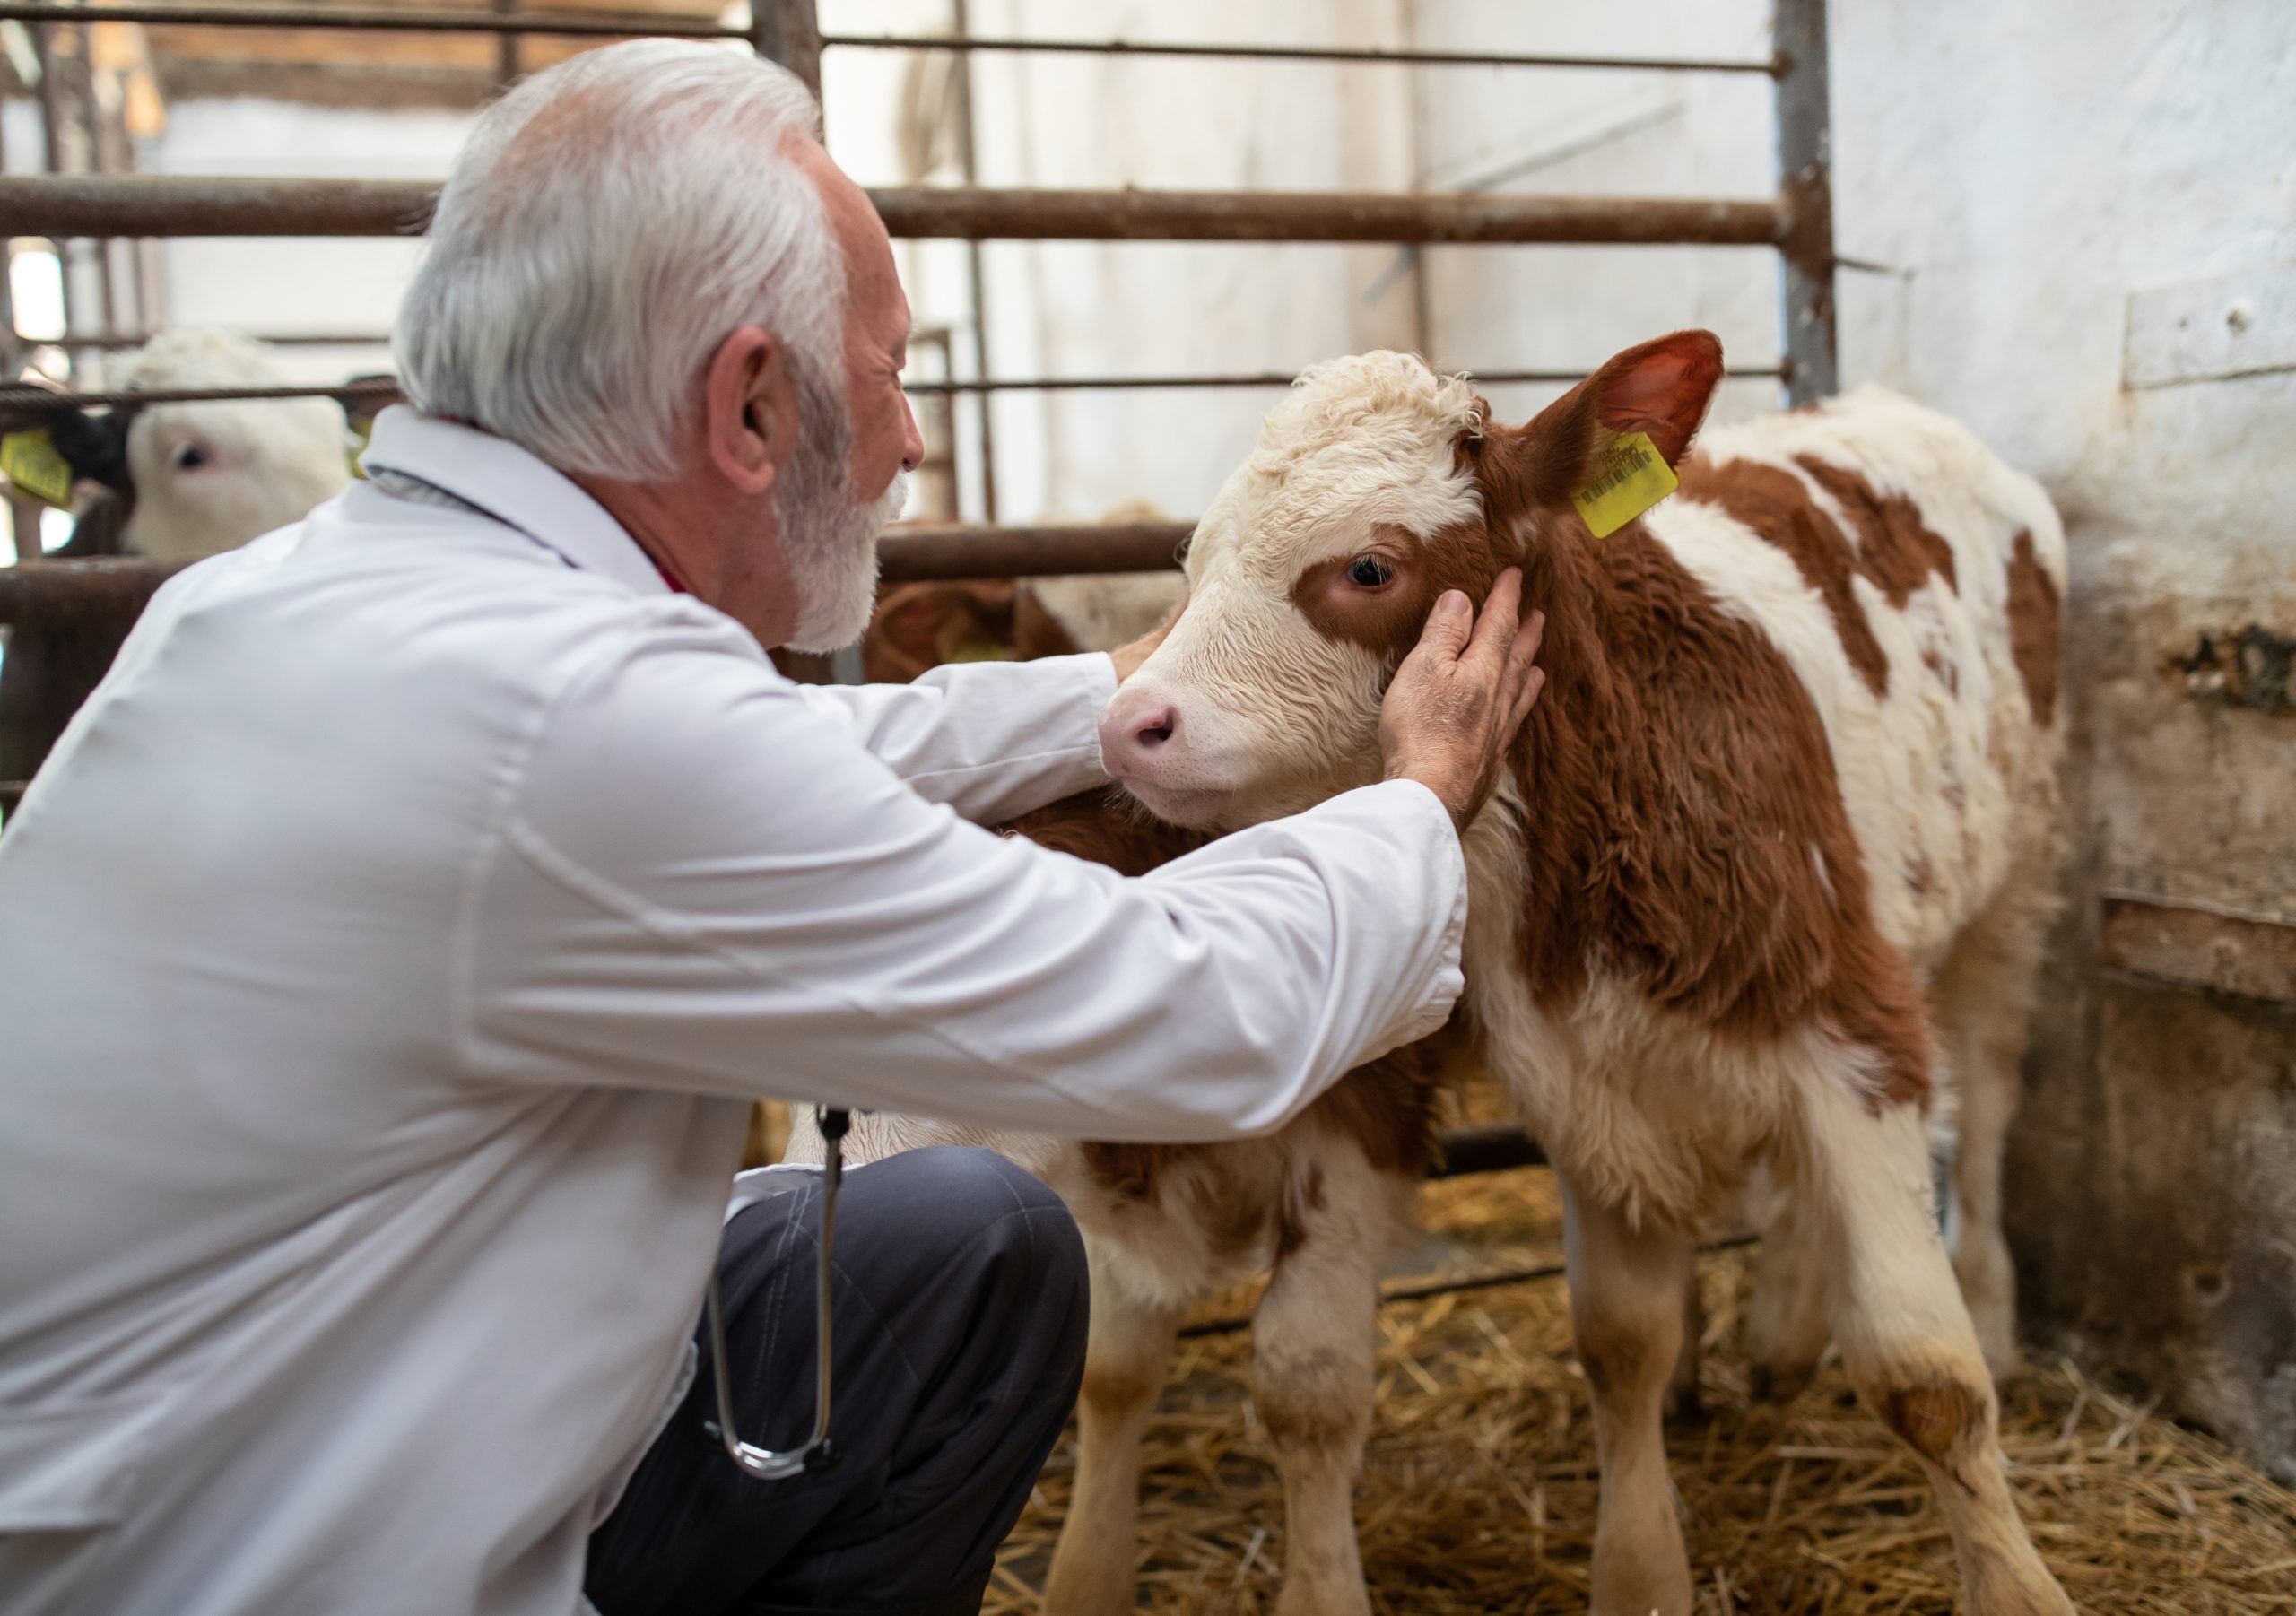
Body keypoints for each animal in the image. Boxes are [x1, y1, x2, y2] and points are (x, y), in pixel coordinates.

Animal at [1097, 334, 2084, 1606]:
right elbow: (1620, 1339)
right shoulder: (1583, 1072)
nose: (1131, 723)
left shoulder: (1853, 1028)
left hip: (2015, 873)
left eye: (1368, 566)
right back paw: (1779, 1330)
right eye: (1195, 556)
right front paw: (1640, 1564)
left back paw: (1988, 1308)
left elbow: (1926, 1372)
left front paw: (2015, 1580)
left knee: (1996, 1081)